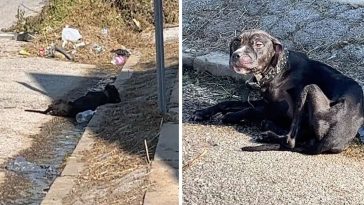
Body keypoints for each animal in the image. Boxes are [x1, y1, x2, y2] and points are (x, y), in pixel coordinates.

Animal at [192, 28, 362, 154]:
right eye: (236, 42)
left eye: (258, 44)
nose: (236, 55)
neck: (278, 69)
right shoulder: (264, 101)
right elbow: (228, 103)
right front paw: (203, 112)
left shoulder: (281, 108)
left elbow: (249, 110)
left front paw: (231, 116)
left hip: (309, 90)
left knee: (291, 140)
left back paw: (268, 133)